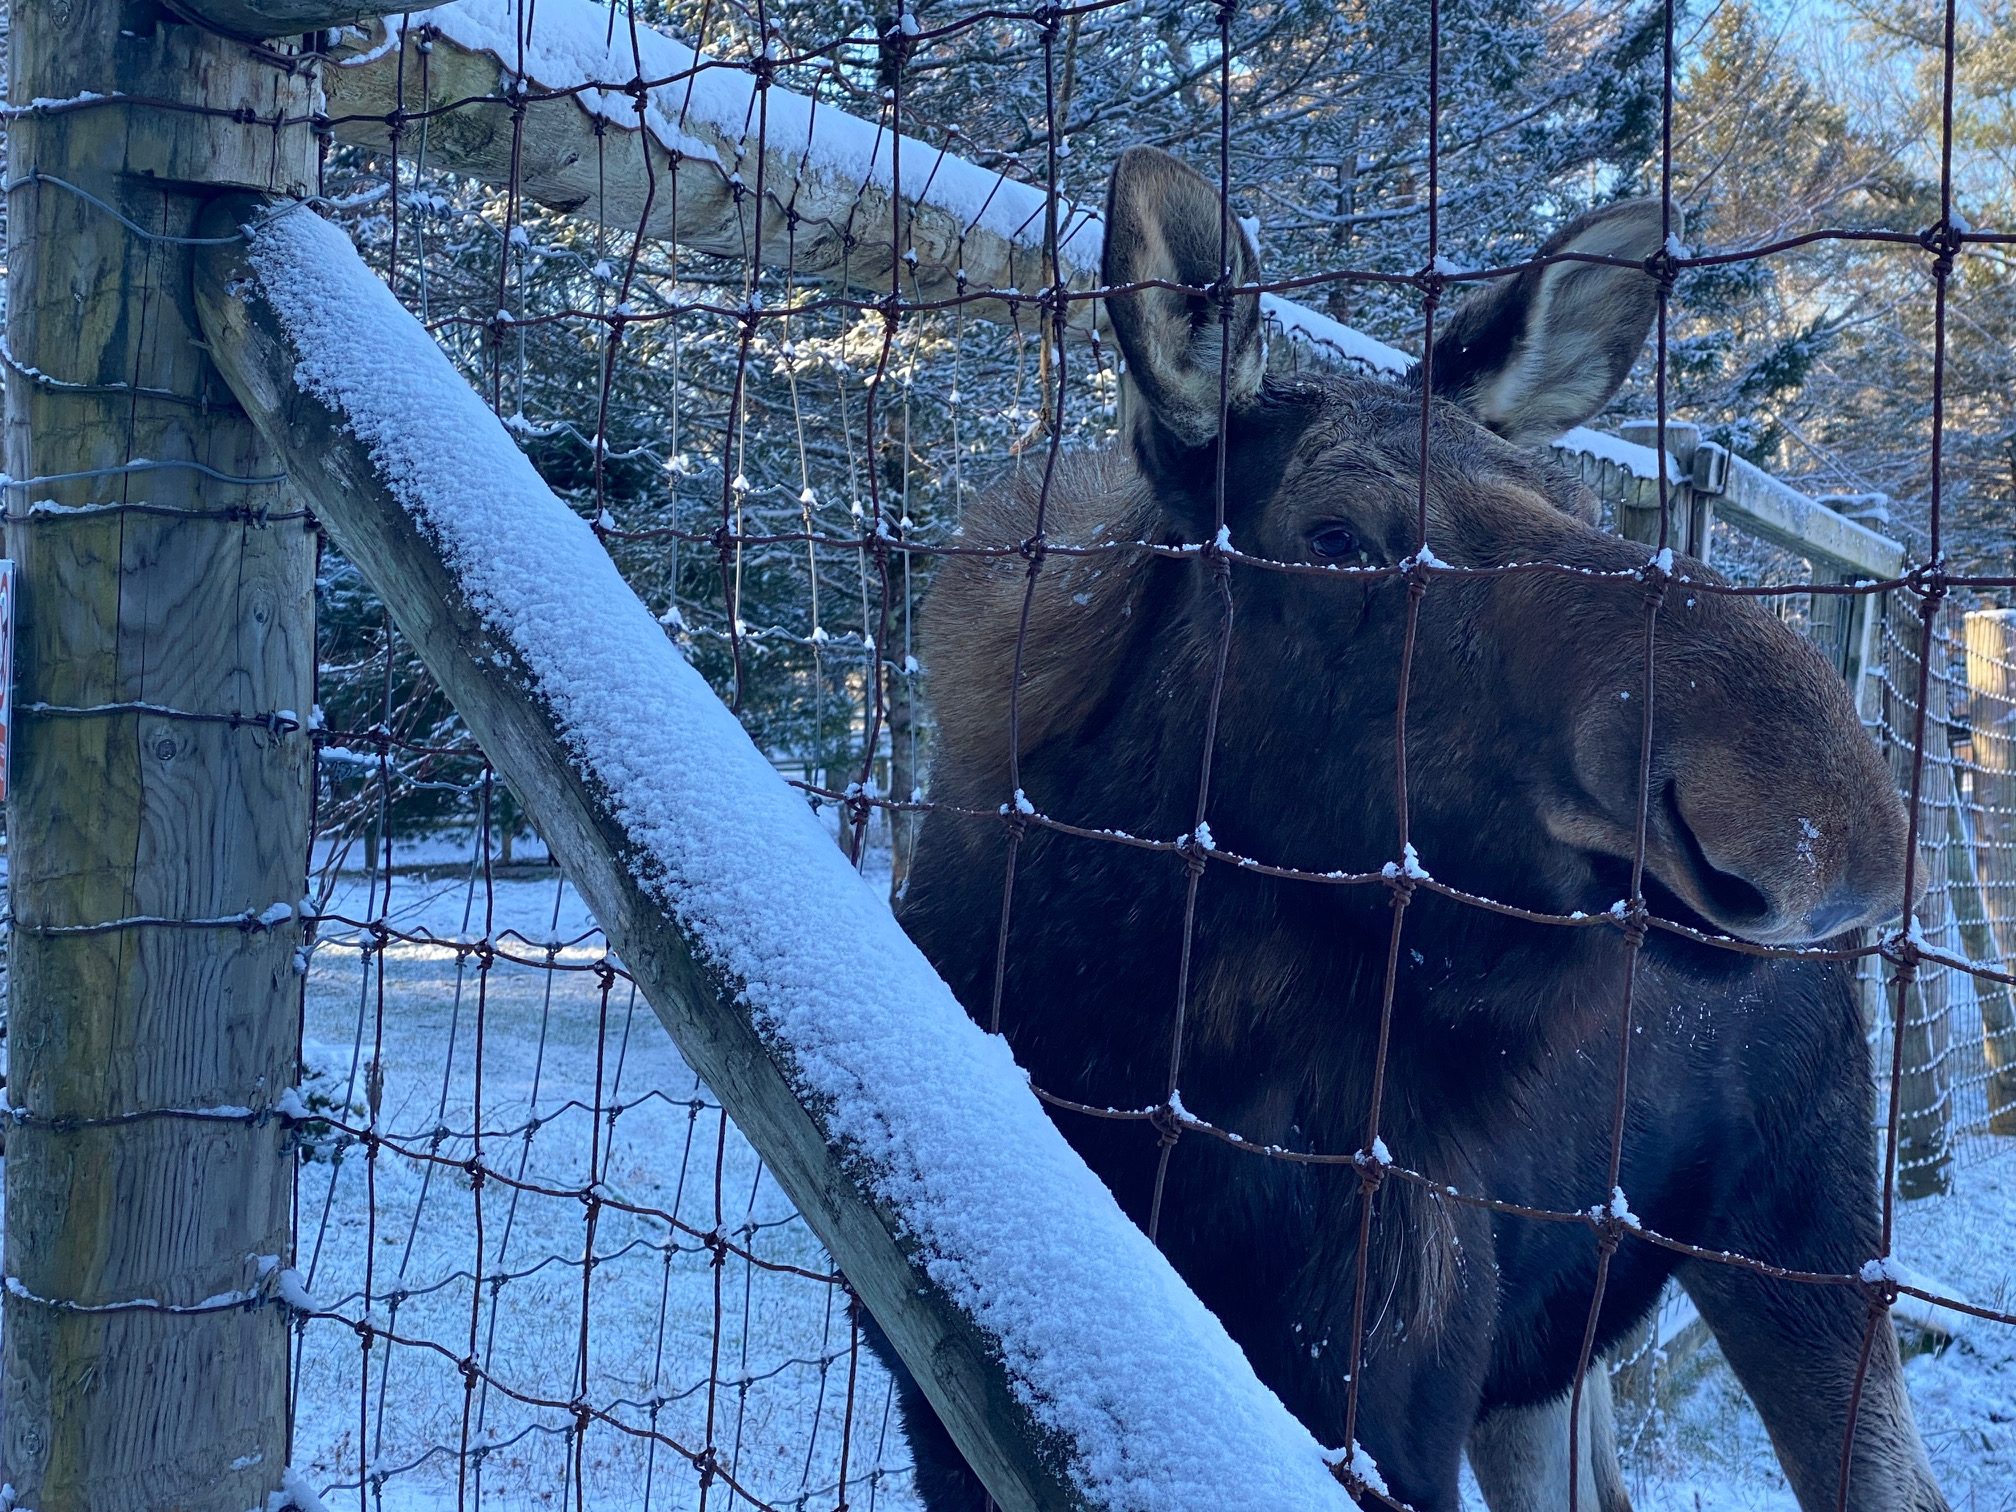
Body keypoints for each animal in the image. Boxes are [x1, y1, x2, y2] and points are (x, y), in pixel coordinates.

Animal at [874, 151, 1943, 1512]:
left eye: (1577, 501)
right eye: (1335, 537)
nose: (1826, 824)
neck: (1131, 1056)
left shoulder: (1387, 1409)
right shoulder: (934, 1400)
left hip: (1804, 1238)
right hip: (1555, 1350)